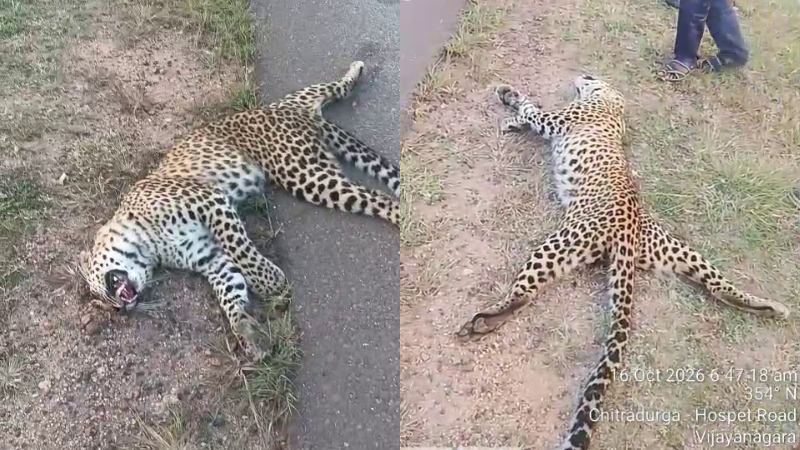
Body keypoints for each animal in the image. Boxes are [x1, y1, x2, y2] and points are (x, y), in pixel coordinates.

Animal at [77, 61, 399, 360]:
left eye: (99, 290)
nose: (121, 308)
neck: (148, 246)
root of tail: (299, 115)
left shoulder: (210, 201)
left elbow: (240, 249)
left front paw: (268, 282)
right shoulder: (211, 259)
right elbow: (230, 290)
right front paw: (248, 334)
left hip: (302, 169)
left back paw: (354, 71)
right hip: (316, 167)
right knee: (368, 193)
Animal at [455, 74, 790, 450]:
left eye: (591, 78)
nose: (583, 73)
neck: (612, 105)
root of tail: (630, 230)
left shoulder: (556, 121)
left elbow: (531, 108)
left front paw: (509, 100)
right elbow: (529, 112)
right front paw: (512, 119)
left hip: (560, 242)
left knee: (523, 294)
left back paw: (482, 321)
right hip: (675, 251)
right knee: (717, 284)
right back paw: (771, 308)